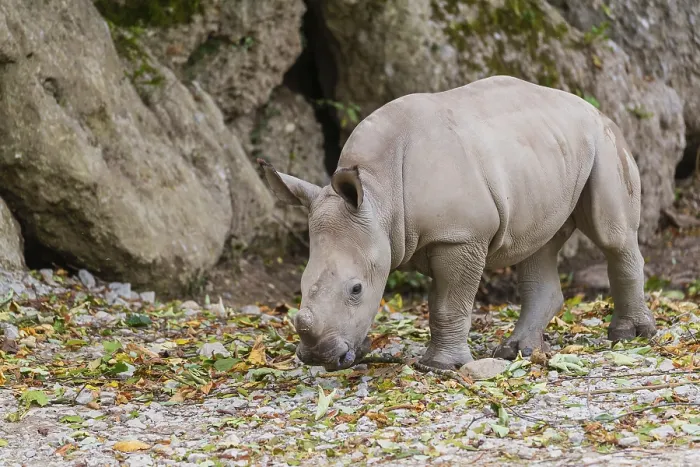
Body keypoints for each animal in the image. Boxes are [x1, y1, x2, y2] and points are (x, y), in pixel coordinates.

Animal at [258, 75, 656, 372]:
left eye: (356, 289)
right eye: (301, 283)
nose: (318, 357)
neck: (379, 194)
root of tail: (592, 107)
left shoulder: (461, 236)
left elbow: (448, 303)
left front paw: (439, 367)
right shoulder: (437, 234)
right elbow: (441, 302)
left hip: (604, 142)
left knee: (612, 236)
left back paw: (630, 336)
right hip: (546, 157)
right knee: (537, 246)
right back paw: (517, 352)